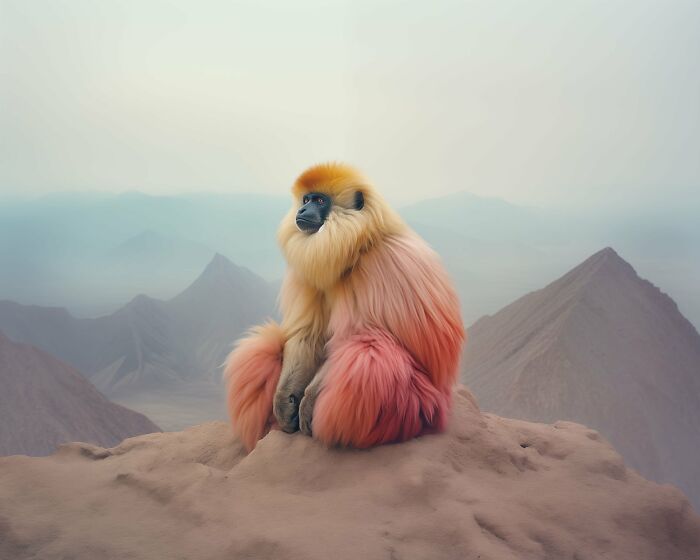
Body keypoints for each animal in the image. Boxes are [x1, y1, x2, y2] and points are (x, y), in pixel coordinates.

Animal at [224, 163, 464, 450]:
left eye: (319, 201)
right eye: (305, 199)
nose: (302, 211)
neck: (356, 246)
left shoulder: (378, 264)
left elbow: (347, 340)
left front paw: (307, 403)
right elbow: (307, 335)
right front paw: (284, 402)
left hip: (424, 404)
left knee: (370, 353)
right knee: (264, 346)